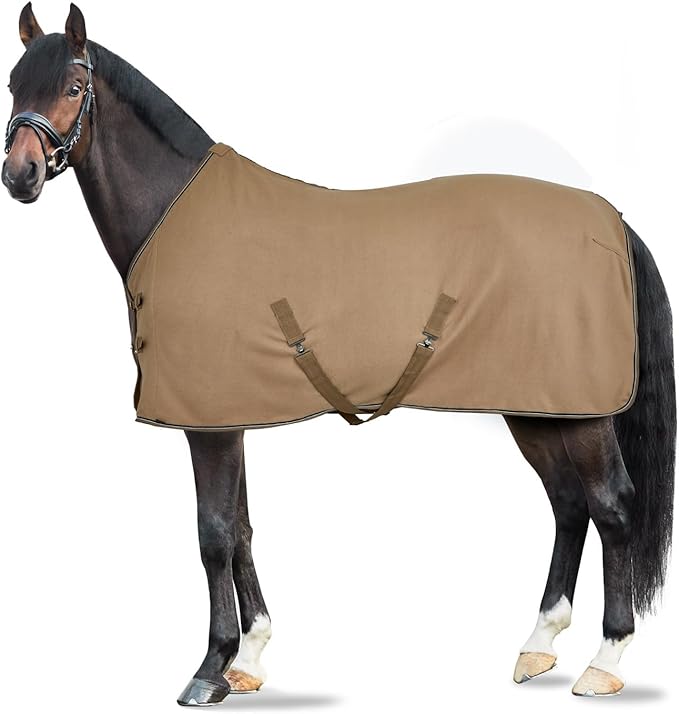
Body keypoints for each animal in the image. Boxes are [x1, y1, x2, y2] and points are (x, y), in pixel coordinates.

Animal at [2, 3, 675, 706]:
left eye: (73, 88)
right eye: (14, 86)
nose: (19, 175)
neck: (175, 216)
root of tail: (613, 223)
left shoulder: (207, 423)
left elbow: (213, 534)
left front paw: (210, 668)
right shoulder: (229, 414)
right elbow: (242, 527)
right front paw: (250, 658)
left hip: (583, 414)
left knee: (612, 507)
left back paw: (606, 660)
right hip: (538, 408)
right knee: (569, 505)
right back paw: (538, 645)